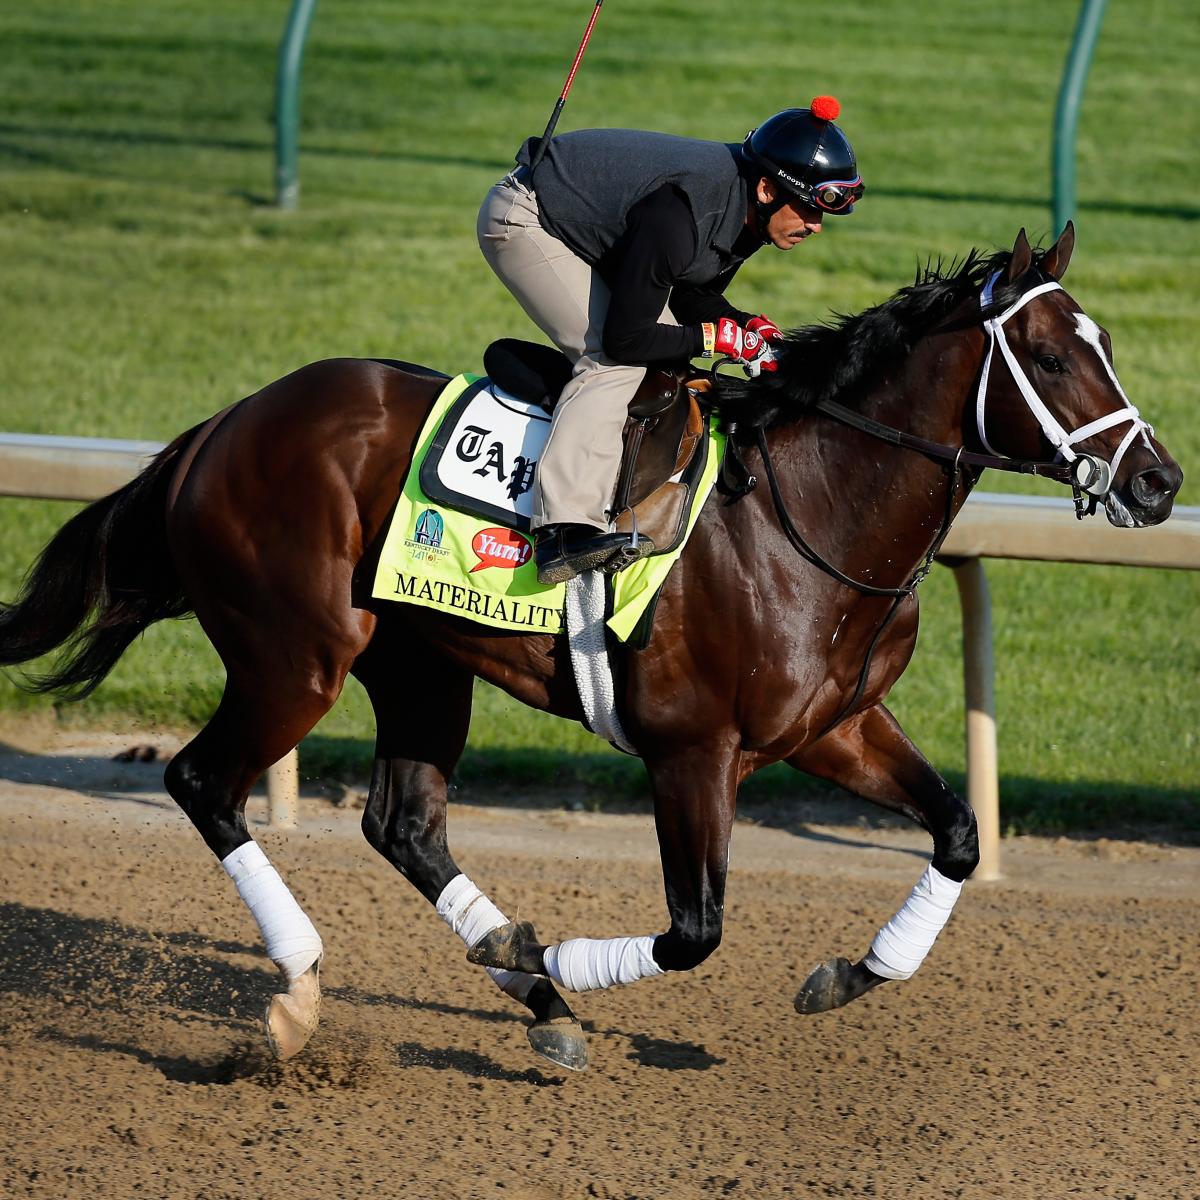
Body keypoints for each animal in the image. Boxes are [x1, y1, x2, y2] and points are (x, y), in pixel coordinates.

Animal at [0, 223, 1180, 1070]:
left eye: (1109, 346)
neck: (811, 510)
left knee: (404, 825)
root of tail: (222, 425)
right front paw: (554, 946)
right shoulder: (693, 751)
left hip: (419, 664)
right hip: (295, 656)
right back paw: (307, 992)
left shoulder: (832, 726)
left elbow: (959, 832)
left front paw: (848, 974)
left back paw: (533, 990)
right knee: (206, 782)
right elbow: (695, 929)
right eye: (1046, 355)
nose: (1159, 480)